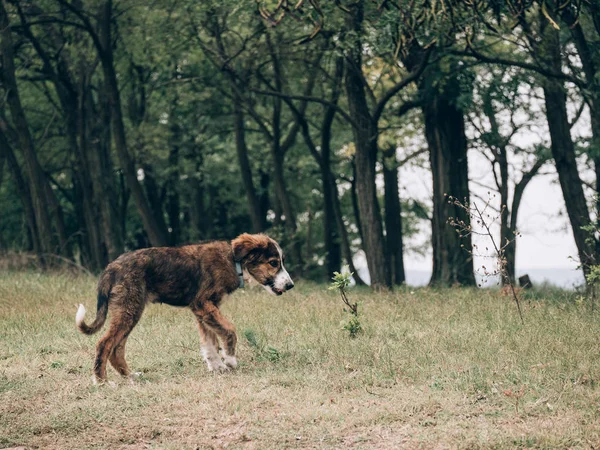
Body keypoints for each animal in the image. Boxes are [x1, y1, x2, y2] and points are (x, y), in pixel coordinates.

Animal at [76, 232, 294, 384]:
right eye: (273, 263)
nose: (290, 285)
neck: (234, 261)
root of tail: (111, 268)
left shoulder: (204, 310)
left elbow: (210, 340)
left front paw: (216, 365)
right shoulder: (202, 304)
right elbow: (229, 330)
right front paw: (230, 359)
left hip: (129, 311)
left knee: (117, 349)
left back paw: (130, 376)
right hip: (129, 309)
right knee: (104, 344)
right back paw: (102, 381)